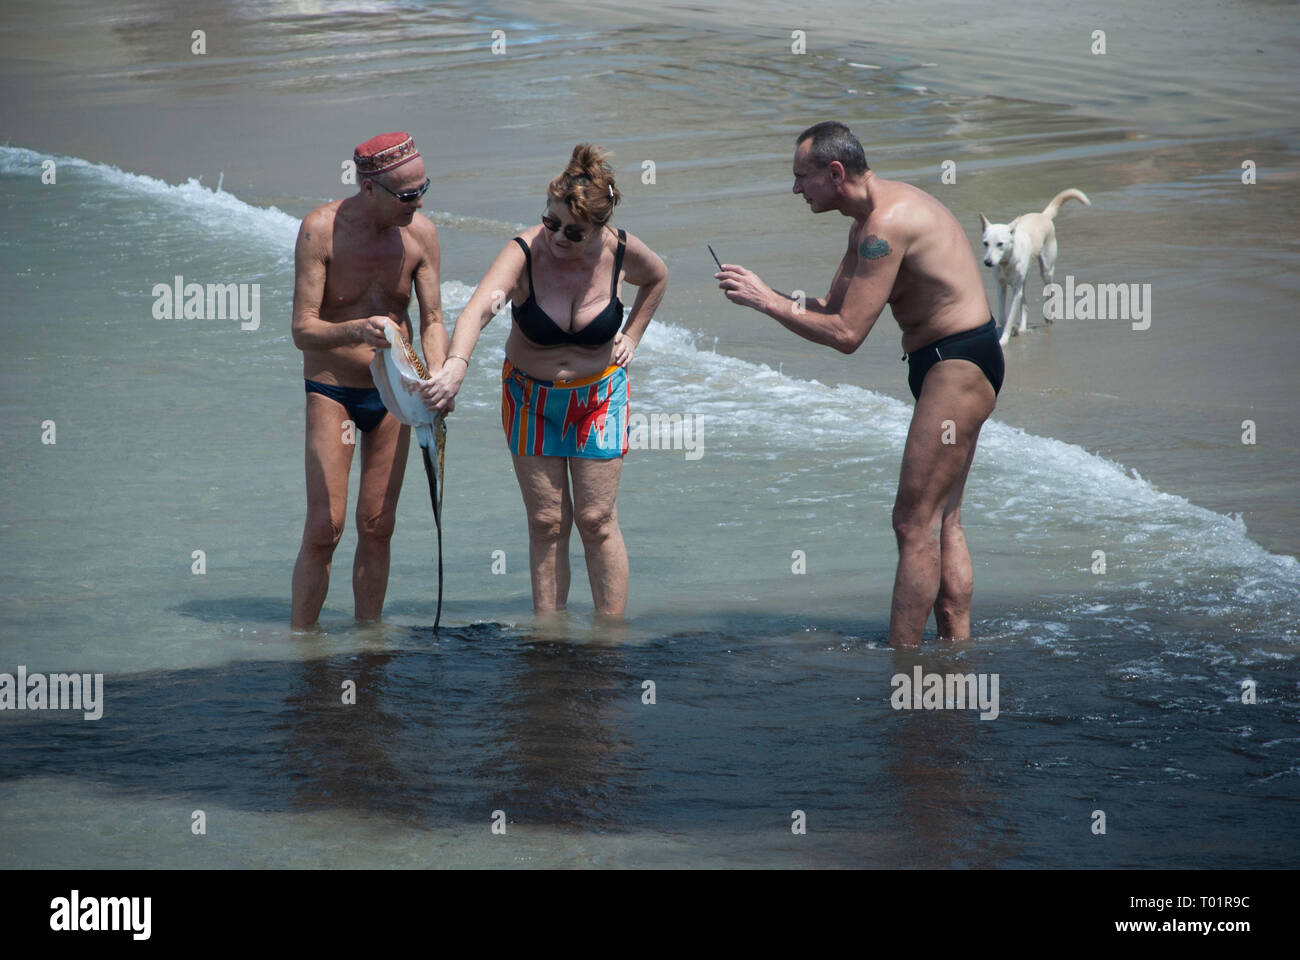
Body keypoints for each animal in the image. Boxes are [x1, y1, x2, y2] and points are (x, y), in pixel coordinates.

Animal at [982, 187, 1086, 343]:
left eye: (1000, 244)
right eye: (985, 243)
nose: (987, 262)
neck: (1007, 262)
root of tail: (1043, 216)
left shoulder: (1016, 290)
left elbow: (1010, 316)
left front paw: (1004, 340)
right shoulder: (1001, 286)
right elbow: (1002, 317)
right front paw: (1013, 329)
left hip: (1046, 271)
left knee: (1050, 291)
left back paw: (1048, 317)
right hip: (1024, 280)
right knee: (1025, 306)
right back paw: (1022, 328)